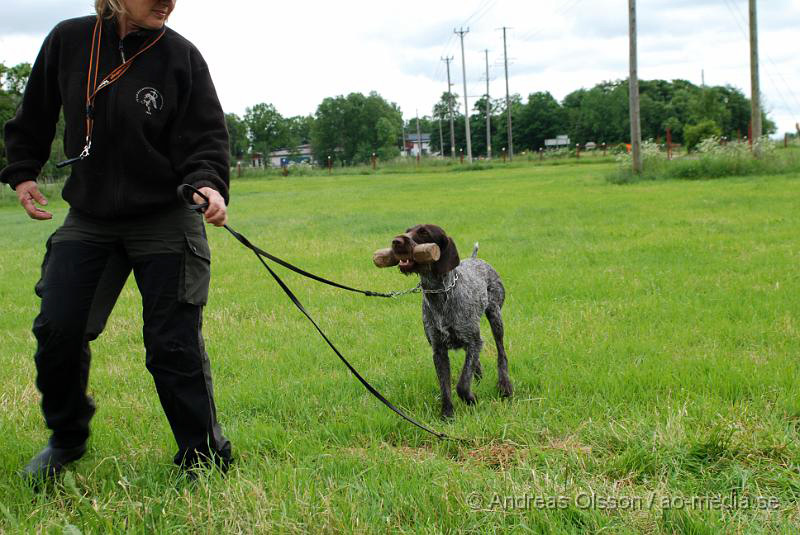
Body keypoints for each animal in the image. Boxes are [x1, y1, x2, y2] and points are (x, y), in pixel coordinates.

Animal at [392, 223, 512, 418]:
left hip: (495, 317)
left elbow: (461, 385)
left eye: (424, 232)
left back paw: (505, 386)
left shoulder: (472, 340)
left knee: (501, 353)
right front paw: (447, 414)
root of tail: (475, 259)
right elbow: (445, 386)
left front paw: (471, 399)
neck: (440, 293)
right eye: (408, 230)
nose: (395, 241)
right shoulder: (439, 350)